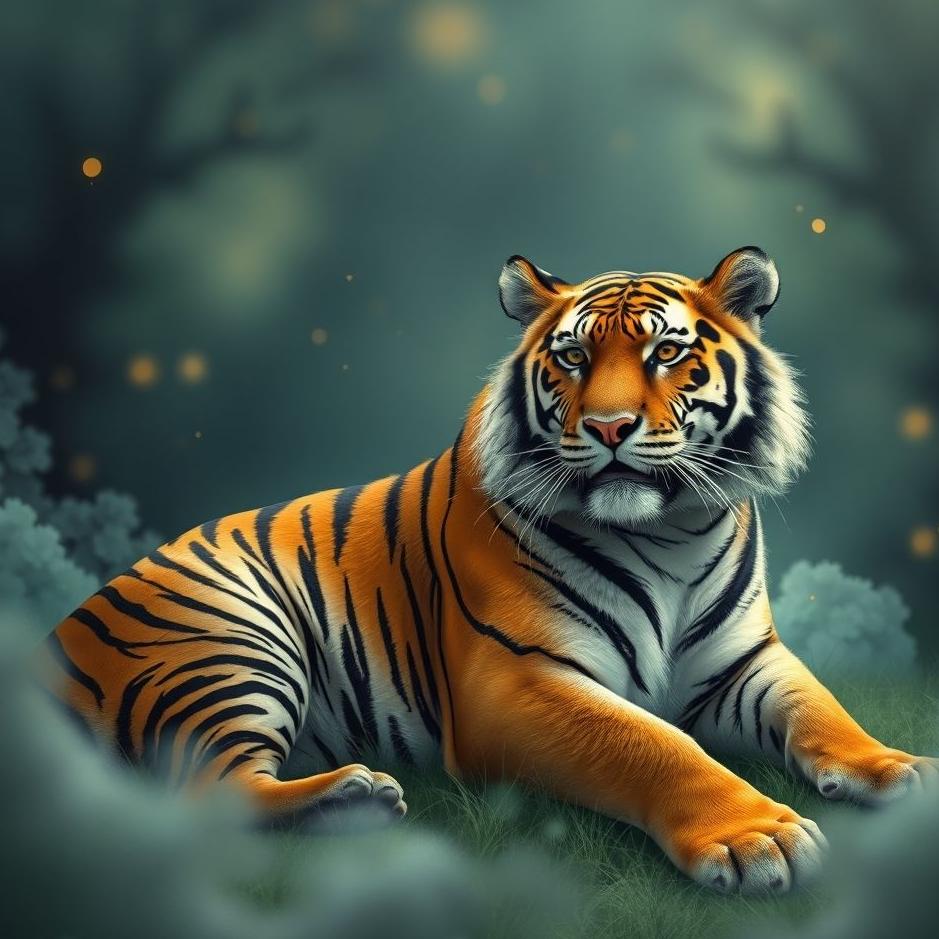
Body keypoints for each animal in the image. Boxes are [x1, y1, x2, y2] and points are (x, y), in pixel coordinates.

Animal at [41, 246, 937, 894]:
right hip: (231, 641)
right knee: (206, 795)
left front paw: (899, 769)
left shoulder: (743, 662)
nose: (608, 426)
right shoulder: (514, 680)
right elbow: (653, 743)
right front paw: (754, 835)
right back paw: (355, 796)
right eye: (572, 357)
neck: (668, 533)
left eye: (664, 352)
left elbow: (821, 710)